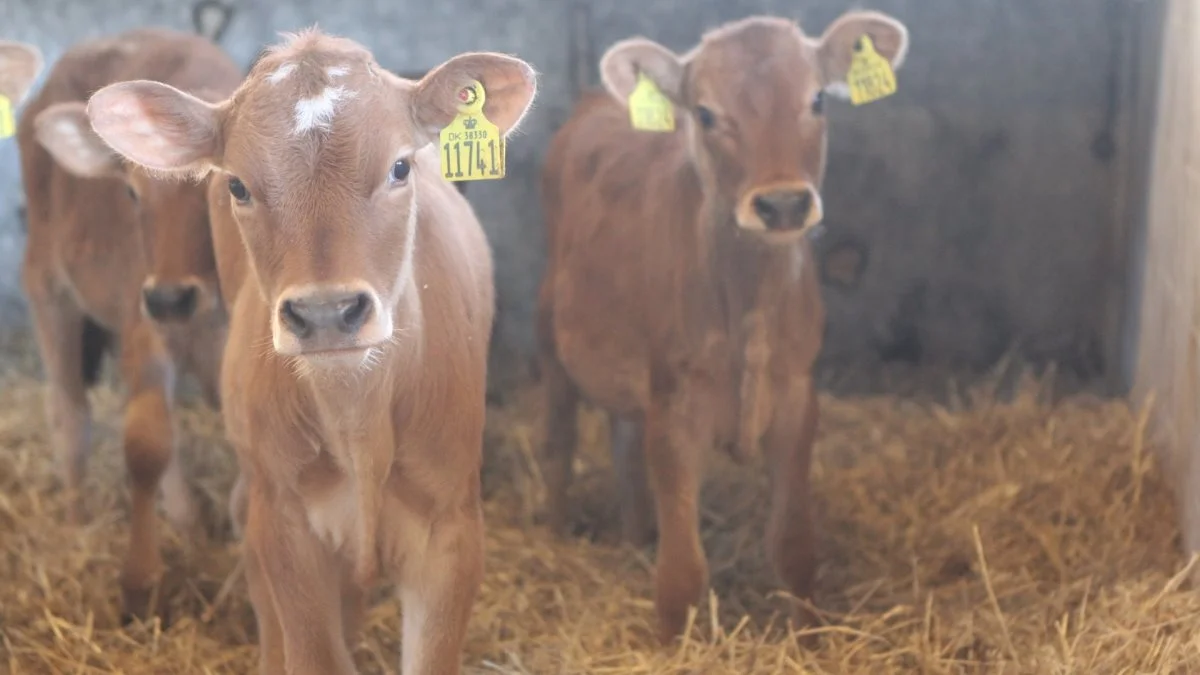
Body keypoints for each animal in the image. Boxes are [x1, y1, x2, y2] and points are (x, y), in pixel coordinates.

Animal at [17, 28, 238, 619]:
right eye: (133, 192)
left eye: (222, 189)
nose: (169, 297)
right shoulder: (145, 327)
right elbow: (145, 443)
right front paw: (139, 582)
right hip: (48, 286)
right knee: (71, 412)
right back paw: (76, 519)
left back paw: (187, 521)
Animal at [85, 27, 535, 672]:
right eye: (237, 186)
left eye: (401, 166)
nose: (326, 312)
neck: (358, 417)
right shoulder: (287, 526)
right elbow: (312, 648)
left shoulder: (452, 529)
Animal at [537, 13, 907, 638]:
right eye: (706, 114)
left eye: (817, 100)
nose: (782, 204)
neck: (749, 304)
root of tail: (597, 101)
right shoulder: (675, 406)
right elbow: (685, 570)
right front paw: (671, 643)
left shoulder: (797, 398)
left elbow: (794, 543)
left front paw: (809, 637)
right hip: (550, 332)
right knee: (558, 441)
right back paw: (558, 537)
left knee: (623, 442)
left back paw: (636, 538)